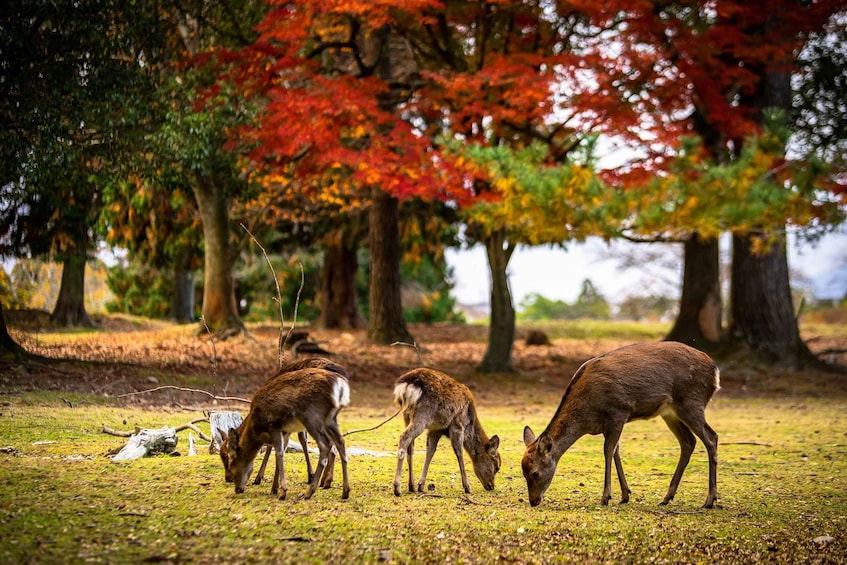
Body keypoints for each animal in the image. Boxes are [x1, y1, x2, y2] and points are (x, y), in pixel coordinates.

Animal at [216, 358, 349, 491]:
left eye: (228, 456)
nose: (228, 478)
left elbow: (288, 443)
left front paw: (260, 478)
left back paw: (324, 480)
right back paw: (326, 480)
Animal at [392, 367, 501, 496]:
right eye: (496, 466)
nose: (491, 486)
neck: (470, 423)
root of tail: (407, 384)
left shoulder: (435, 429)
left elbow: (430, 451)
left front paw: (421, 485)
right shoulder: (458, 424)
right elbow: (459, 452)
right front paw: (467, 487)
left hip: (406, 415)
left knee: (411, 446)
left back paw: (411, 486)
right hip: (423, 414)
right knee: (404, 436)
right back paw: (397, 488)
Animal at [522, 341, 719, 509]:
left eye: (535, 473)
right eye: (523, 472)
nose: (533, 501)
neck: (586, 416)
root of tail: (715, 370)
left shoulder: (618, 412)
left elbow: (608, 451)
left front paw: (605, 497)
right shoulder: (606, 425)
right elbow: (616, 450)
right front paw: (625, 495)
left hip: (691, 401)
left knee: (711, 438)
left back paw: (709, 500)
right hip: (670, 413)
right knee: (688, 442)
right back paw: (666, 497)